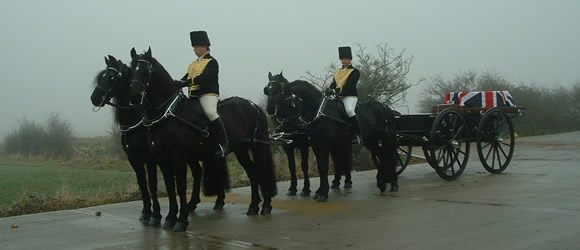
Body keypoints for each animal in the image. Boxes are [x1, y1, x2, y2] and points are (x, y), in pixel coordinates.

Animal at [89, 55, 211, 227]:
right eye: (102, 77)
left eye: (112, 77)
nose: (94, 98)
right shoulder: (134, 158)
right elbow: (142, 184)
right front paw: (146, 212)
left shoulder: (150, 158)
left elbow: (152, 185)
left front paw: (156, 215)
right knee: (197, 172)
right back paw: (192, 204)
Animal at [129, 47, 276, 231]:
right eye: (131, 69)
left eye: (147, 71)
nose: (134, 96)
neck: (168, 113)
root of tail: (253, 106)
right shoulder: (162, 159)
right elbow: (170, 187)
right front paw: (170, 218)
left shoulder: (178, 157)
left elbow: (181, 187)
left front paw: (181, 220)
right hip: (241, 150)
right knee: (253, 172)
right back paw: (254, 206)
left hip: (253, 148)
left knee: (259, 171)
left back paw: (264, 206)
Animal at [264, 72, 396, 199]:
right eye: (267, 90)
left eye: (282, 90)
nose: (270, 109)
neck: (319, 113)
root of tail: (384, 107)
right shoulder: (307, 145)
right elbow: (310, 166)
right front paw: (312, 190)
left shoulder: (314, 145)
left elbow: (319, 166)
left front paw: (317, 192)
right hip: (368, 140)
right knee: (381, 155)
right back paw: (382, 182)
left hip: (377, 139)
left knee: (385, 156)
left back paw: (389, 183)